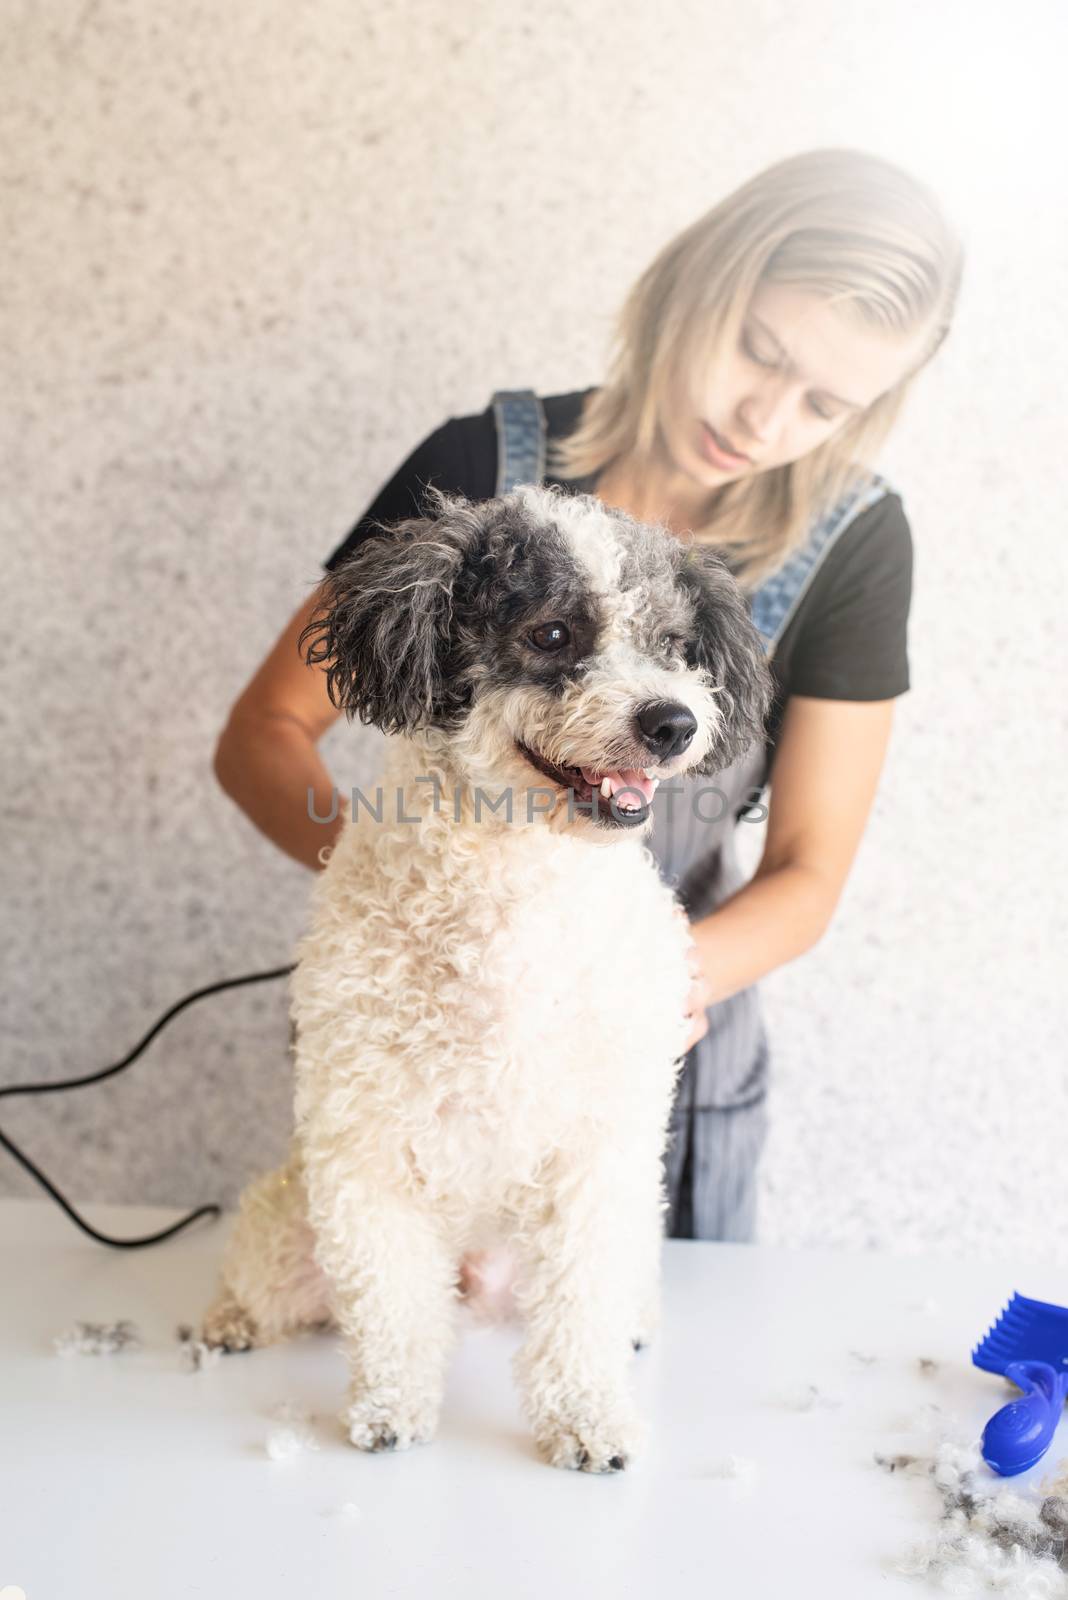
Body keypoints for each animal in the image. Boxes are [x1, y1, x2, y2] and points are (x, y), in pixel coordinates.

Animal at [198, 483, 767, 1472]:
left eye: (671, 643)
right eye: (551, 633)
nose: (674, 723)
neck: (511, 895)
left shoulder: (596, 1155)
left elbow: (580, 1308)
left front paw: (587, 1419)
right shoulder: (364, 1149)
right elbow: (390, 1309)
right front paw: (390, 1410)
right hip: (292, 1222)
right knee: (272, 1280)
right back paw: (228, 1320)